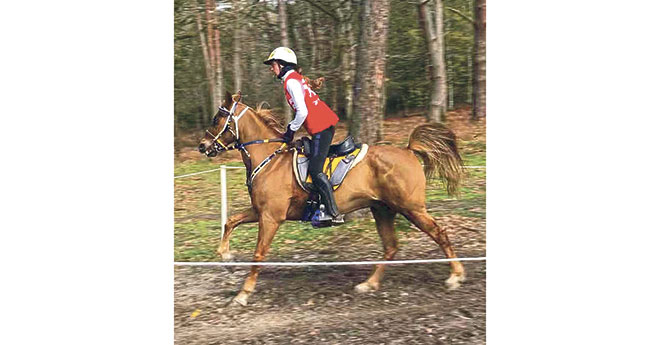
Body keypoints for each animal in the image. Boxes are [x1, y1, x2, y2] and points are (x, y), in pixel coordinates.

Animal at [199, 90, 466, 306]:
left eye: (217, 119)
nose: (202, 146)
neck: (269, 159)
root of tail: (408, 151)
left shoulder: (271, 217)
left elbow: (258, 255)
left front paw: (243, 294)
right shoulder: (261, 211)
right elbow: (230, 221)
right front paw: (226, 256)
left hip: (411, 208)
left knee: (439, 233)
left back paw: (456, 275)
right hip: (382, 209)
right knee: (391, 246)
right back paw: (369, 284)